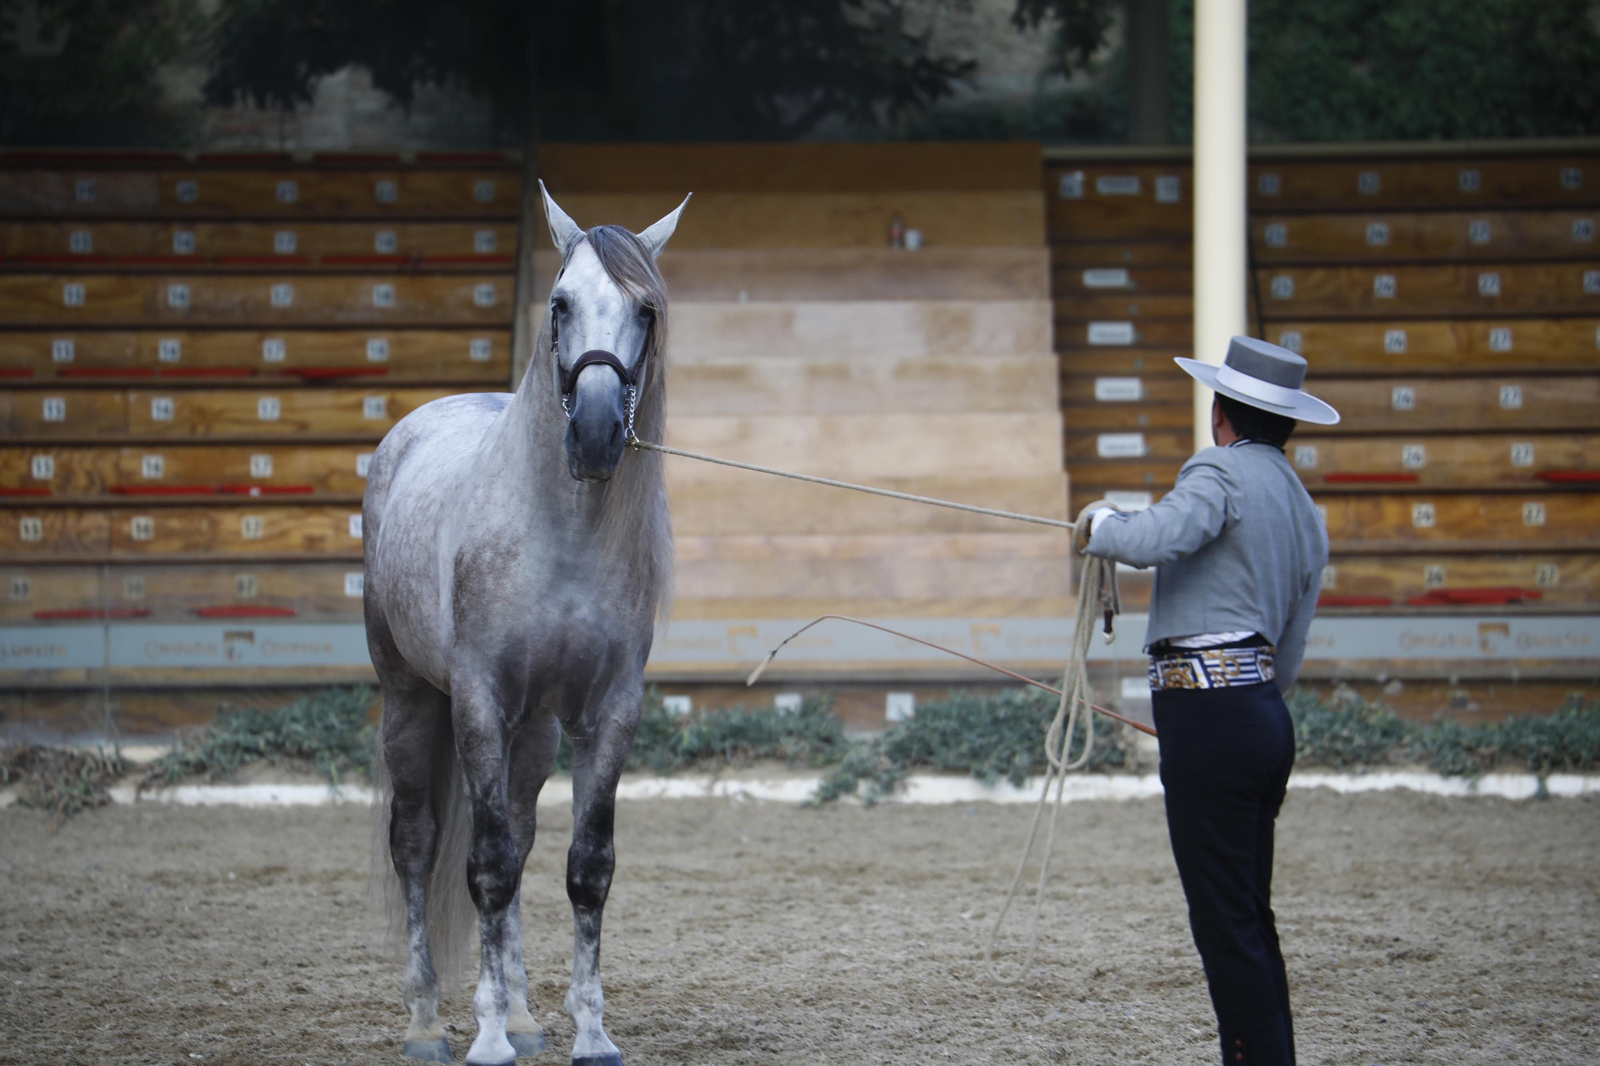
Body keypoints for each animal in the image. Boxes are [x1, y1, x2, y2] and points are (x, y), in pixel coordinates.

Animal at [363, 182, 689, 1066]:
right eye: (560, 302)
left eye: (646, 310)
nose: (598, 432)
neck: (560, 533)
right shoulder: (478, 703)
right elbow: (484, 867)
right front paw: (483, 1040)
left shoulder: (608, 715)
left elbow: (585, 868)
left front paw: (589, 1032)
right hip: (411, 699)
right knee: (418, 843)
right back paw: (426, 1021)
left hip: (534, 733)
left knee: (517, 835)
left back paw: (520, 1013)